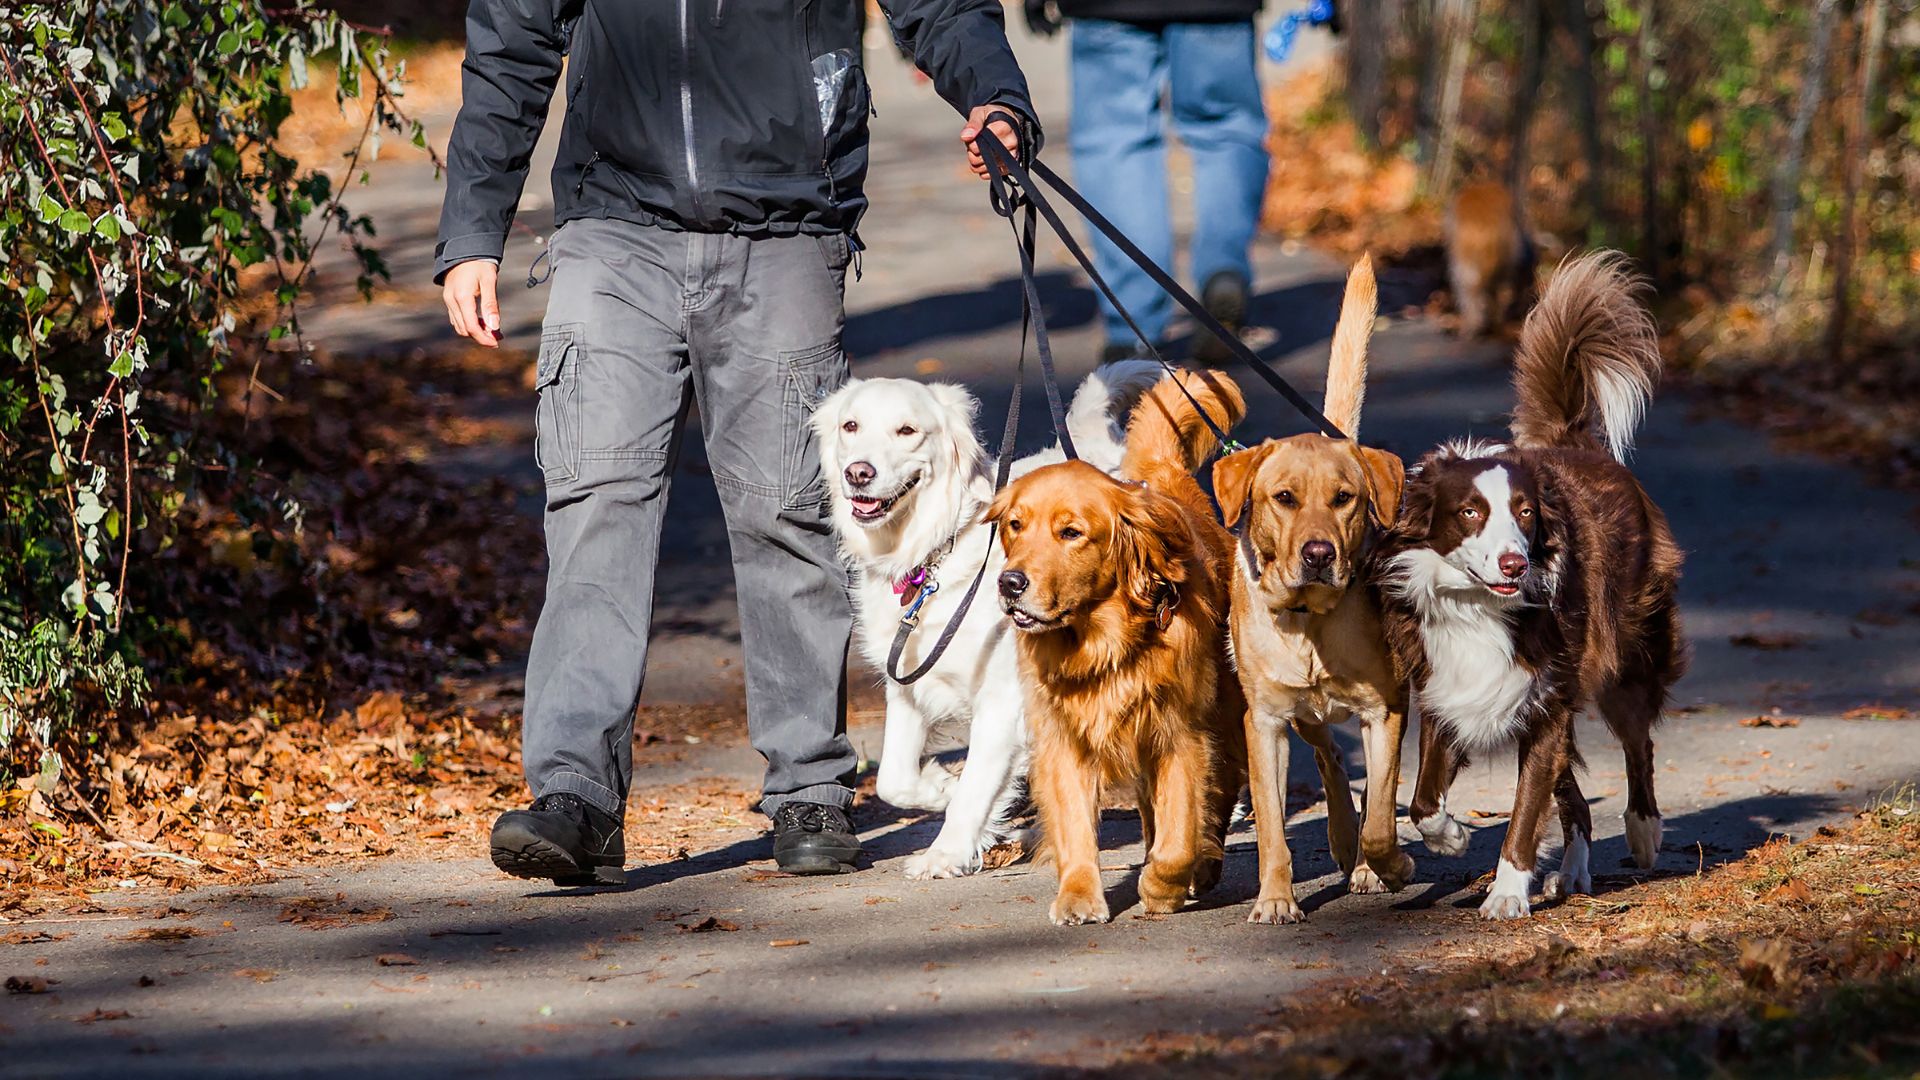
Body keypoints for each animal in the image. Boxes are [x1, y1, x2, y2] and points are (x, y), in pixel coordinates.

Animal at [983, 367, 1251, 914]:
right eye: (1015, 525)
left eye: (1070, 532)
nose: (1009, 583)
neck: (1102, 643)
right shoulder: (1064, 739)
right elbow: (1075, 824)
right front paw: (1078, 895)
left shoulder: (1180, 734)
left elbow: (1180, 832)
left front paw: (1162, 885)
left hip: (1224, 715)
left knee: (1219, 792)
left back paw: (1203, 866)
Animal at [1213, 251, 1413, 914]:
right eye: (1284, 499)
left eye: (1344, 498)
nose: (1320, 553)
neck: (1308, 619)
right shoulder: (1266, 724)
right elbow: (1274, 827)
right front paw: (1276, 898)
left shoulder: (1386, 709)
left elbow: (1383, 813)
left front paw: (1387, 865)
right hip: (1302, 717)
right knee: (1327, 757)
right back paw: (1340, 836)